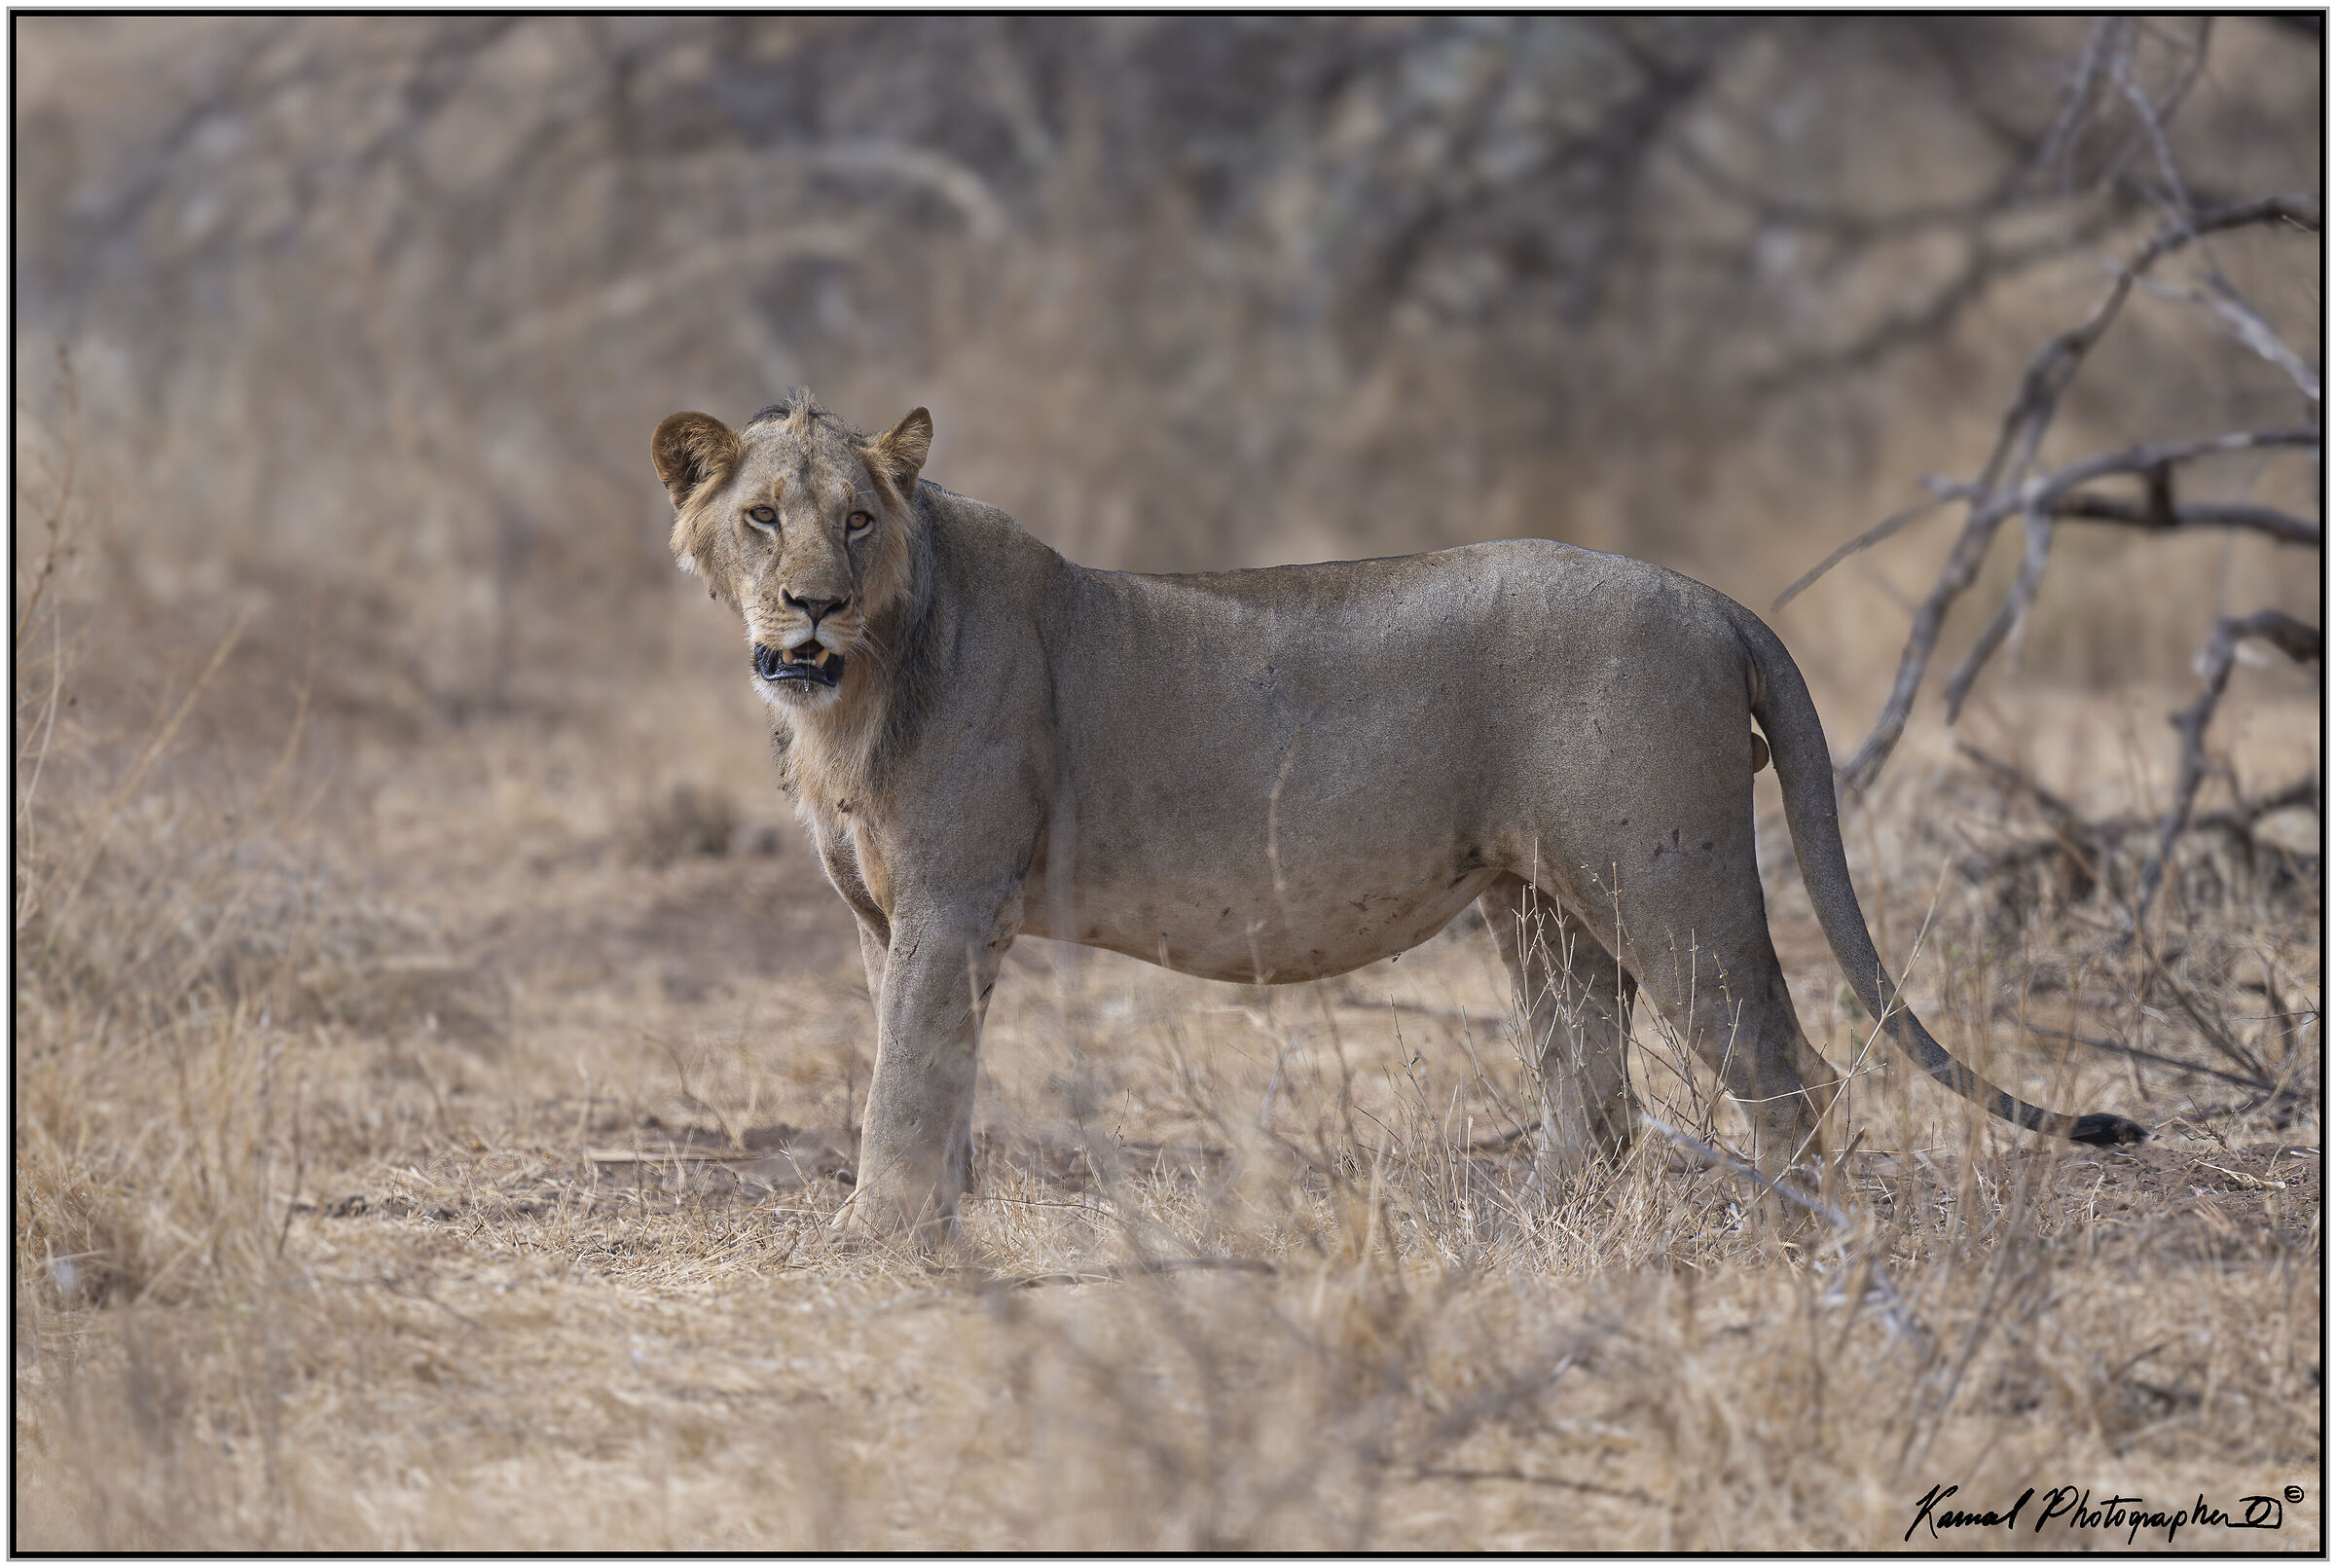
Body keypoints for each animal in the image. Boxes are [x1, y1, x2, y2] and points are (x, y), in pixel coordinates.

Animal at [651, 394, 2146, 1237]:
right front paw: (937, 1232)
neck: (851, 693)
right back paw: (1508, 1246)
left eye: (857, 521)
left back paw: (1798, 1260)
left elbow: (903, 1083)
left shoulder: (954, 901)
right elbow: (935, 1075)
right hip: (1540, 905)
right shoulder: (891, 917)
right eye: (763, 518)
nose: (811, 606)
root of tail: (1713, 598)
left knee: (1789, 1075)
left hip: (1670, 879)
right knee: (1594, 1102)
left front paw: (870, 1240)